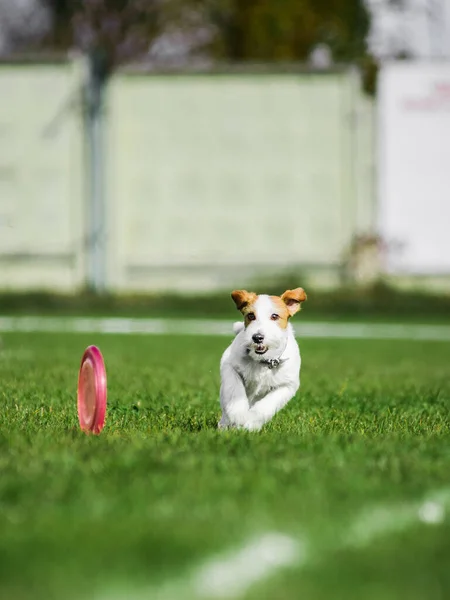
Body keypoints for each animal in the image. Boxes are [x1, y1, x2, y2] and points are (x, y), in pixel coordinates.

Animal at [218, 288, 306, 432]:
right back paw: (225, 425)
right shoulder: (229, 366)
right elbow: (234, 391)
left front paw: (250, 424)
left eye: (275, 316)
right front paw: (238, 414)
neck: (264, 361)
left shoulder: (287, 385)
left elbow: (266, 406)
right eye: (251, 316)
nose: (257, 337)